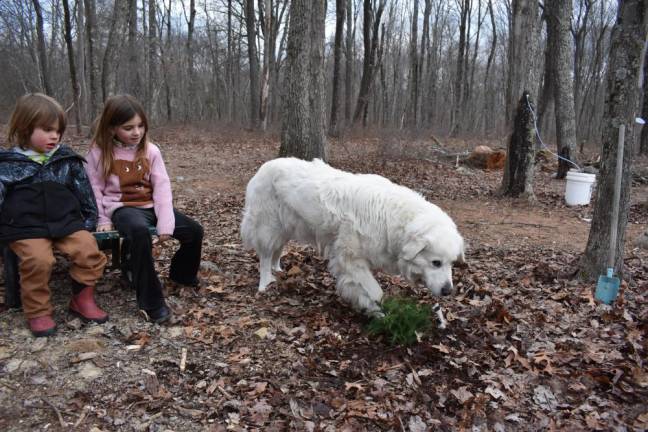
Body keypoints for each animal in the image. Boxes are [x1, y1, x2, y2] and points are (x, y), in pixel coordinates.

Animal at [240, 157, 464, 316]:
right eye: (436, 263)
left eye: (452, 263)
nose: (448, 291)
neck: (393, 216)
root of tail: (264, 166)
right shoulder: (350, 260)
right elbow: (375, 291)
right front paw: (379, 312)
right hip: (268, 227)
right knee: (265, 256)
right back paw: (265, 283)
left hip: (285, 228)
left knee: (277, 251)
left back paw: (277, 269)